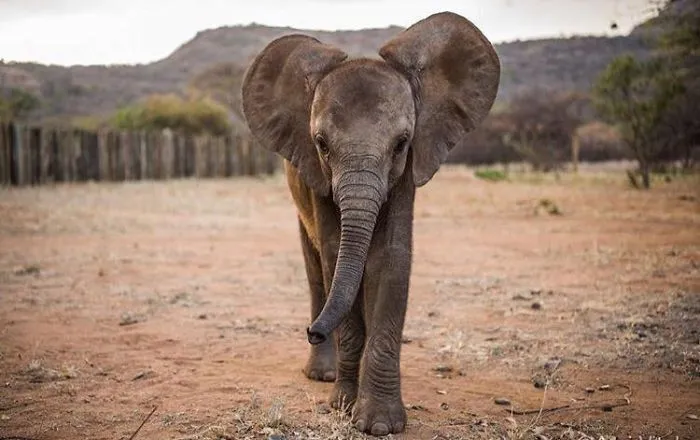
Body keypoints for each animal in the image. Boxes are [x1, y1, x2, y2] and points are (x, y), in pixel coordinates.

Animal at [241, 11, 500, 436]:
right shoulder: (316, 176)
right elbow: (334, 257)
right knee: (316, 269)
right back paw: (323, 374)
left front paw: (380, 424)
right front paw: (343, 407)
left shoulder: (408, 169)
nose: (312, 331)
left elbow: (389, 260)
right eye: (321, 144)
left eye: (402, 142)